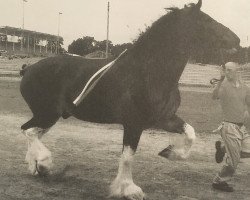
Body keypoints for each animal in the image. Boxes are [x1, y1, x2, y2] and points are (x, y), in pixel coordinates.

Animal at [19, 0, 238, 199]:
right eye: (206, 21)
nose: (236, 40)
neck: (148, 72)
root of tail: (28, 68)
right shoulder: (134, 124)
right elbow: (127, 157)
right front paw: (129, 189)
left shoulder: (165, 119)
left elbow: (191, 133)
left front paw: (170, 152)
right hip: (47, 114)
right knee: (29, 131)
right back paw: (43, 163)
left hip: (51, 116)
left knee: (32, 132)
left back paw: (36, 167)